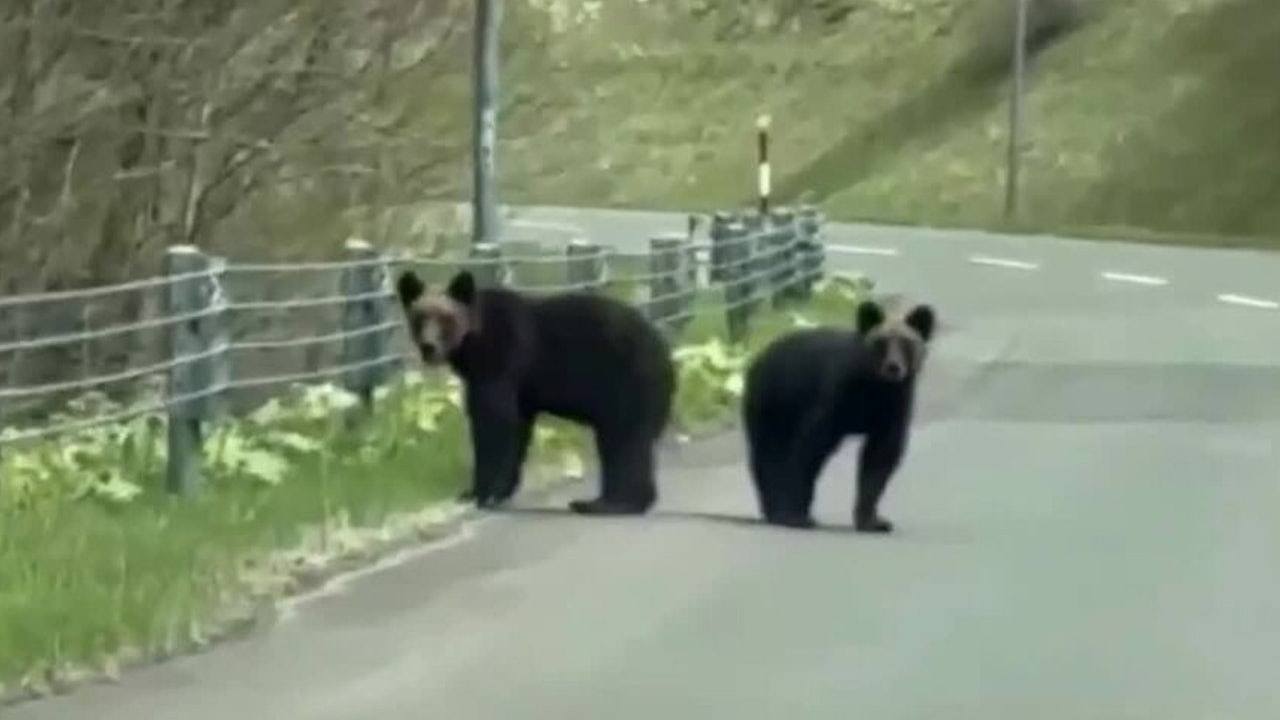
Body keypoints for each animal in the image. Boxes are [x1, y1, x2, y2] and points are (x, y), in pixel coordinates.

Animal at [395, 268, 677, 516]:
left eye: (445, 318)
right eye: (419, 317)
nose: (428, 346)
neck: (474, 344)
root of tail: (665, 351)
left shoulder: (500, 361)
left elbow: (493, 423)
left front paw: (476, 492)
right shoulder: (520, 392)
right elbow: (517, 430)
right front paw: (500, 489)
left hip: (626, 383)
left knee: (624, 441)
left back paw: (608, 503)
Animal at [741, 297, 936, 532]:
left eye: (907, 342)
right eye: (882, 342)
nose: (893, 367)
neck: (875, 388)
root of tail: (757, 357)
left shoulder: (893, 409)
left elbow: (880, 457)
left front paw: (873, 520)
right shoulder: (836, 400)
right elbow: (810, 449)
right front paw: (796, 514)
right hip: (773, 402)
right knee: (768, 452)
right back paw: (774, 508)